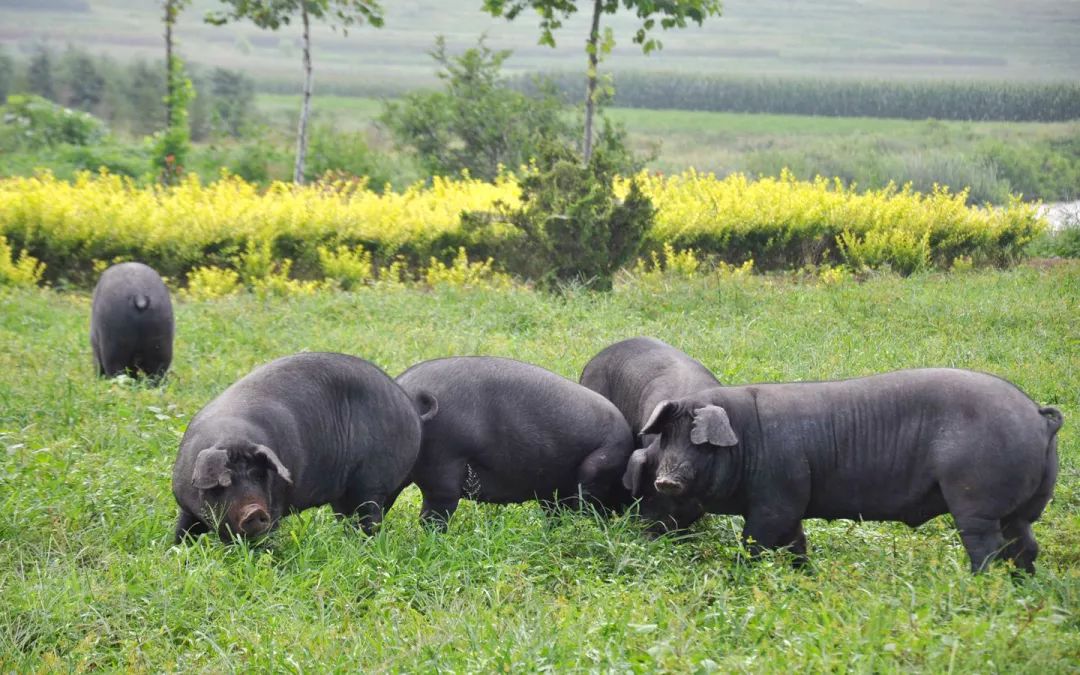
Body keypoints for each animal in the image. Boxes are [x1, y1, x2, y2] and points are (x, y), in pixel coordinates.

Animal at [170, 352, 419, 542]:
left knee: (369, 516)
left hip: (373, 483)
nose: (254, 511)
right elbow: (184, 529)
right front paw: (178, 550)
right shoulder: (185, 504)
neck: (232, 436)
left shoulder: (275, 504)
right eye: (225, 483)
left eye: (259, 475)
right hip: (344, 495)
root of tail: (409, 407)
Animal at [639, 369, 1062, 574]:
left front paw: (740, 576)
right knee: (1025, 544)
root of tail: (1039, 416)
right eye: (667, 438)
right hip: (1023, 507)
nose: (665, 480)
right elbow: (797, 543)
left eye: (700, 442)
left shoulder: (776, 499)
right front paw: (805, 577)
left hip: (976, 499)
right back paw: (1024, 586)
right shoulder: (792, 503)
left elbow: (755, 543)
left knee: (987, 548)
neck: (747, 438)